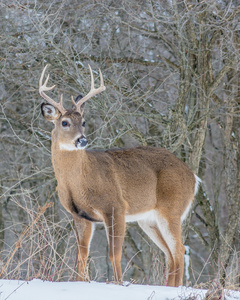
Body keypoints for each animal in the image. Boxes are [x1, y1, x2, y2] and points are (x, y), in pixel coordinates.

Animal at [39, 64, 201, 288]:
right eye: (64, 122)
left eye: (84, 121)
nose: (82, 140)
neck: (79, 182)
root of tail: (193, 177)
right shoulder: (79, 215)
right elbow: (82, 255)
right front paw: (79, 283)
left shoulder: (115, 206)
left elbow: (113, 253)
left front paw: (117, 284)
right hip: (148, 220)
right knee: (170, 254)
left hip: (172, 209)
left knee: (179, 250)